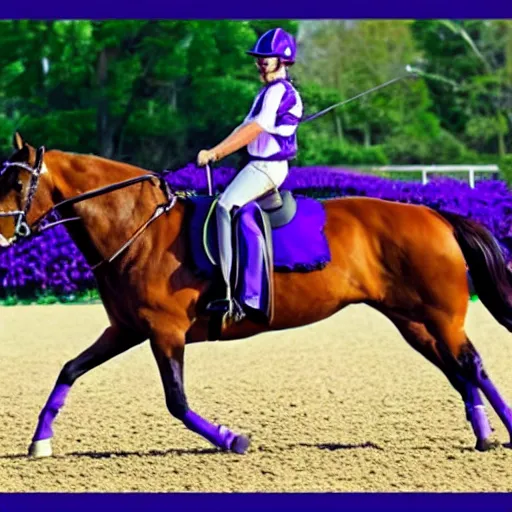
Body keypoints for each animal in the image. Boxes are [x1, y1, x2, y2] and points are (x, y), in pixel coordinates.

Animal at [1, 133, 512, 460]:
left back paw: (496, 431)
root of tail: (435, 214)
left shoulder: (164, 332)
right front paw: (39, 442)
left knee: (471, 364)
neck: (139, 229)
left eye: (16, 183)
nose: (2, 234)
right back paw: (484, 433)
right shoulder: (127, 328)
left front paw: (232, 440)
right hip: (413, 321)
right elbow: (70, 369)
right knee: (459, 369)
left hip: (441, 317)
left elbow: (177, 401)